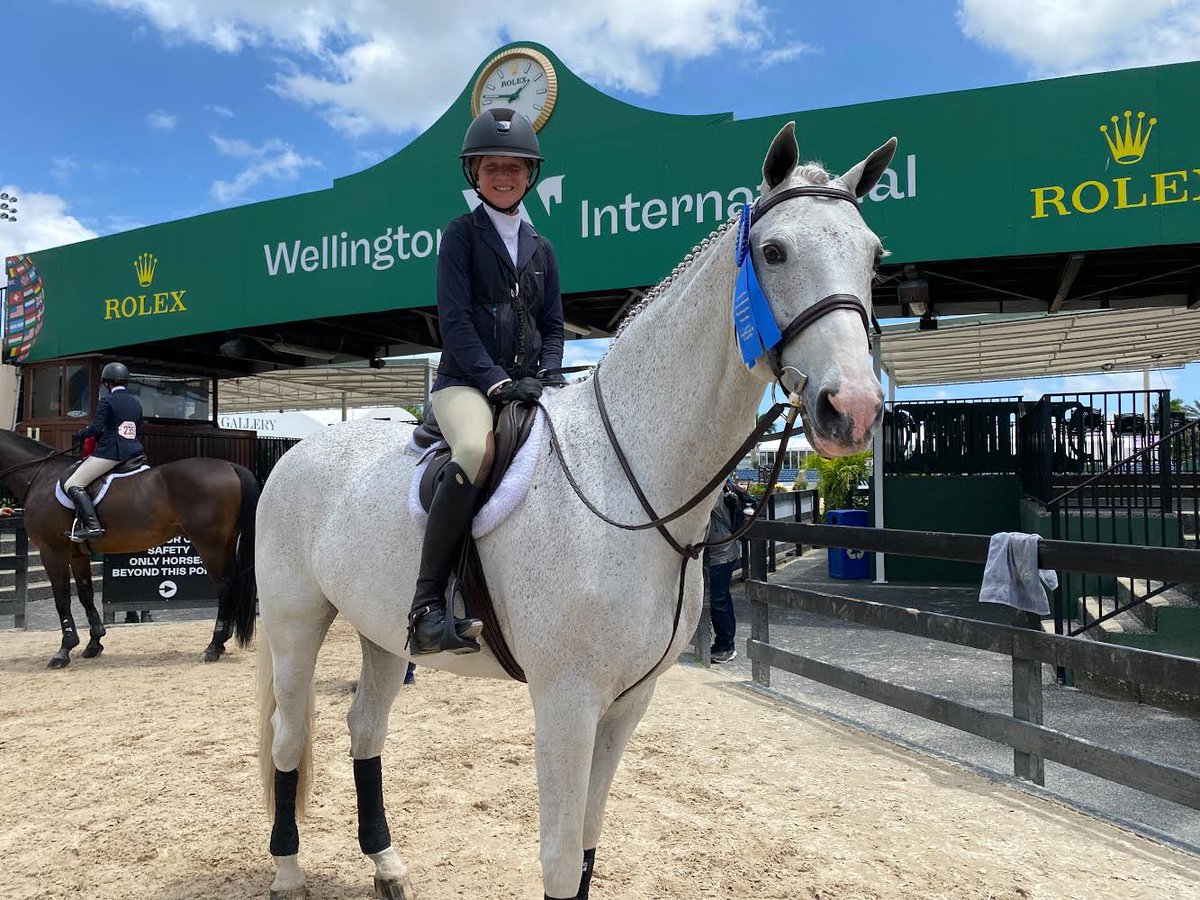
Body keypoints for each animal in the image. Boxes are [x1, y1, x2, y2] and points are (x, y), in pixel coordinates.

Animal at [0, 429, 258, 672]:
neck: (40, 475)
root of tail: (230, 466)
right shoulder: (77, 555)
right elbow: (85, 595)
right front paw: (94, 644)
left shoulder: (52, 552)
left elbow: (62, 600)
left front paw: (63, 651)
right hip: (224, 542)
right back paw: (221, 643)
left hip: (209, 544)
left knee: (224, 586)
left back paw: (213, 647)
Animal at [250, 121, 892, 900]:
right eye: (774, 251)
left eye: (874, 257)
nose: (852, 409)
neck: (631, 481)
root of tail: (293, 455)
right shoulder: (567, 700)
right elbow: (559, 859)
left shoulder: (626, 703)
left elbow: (587, 846)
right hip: (296, 622)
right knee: (289, 741)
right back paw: (286, 872)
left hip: (380, 632)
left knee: (363, 730)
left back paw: (387, 864)